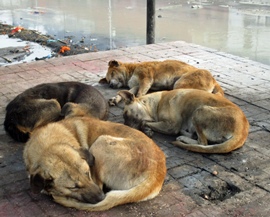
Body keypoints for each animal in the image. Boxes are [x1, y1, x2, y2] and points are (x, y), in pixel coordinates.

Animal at [23, 116, 167, 211]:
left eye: (87, 173)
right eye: (73, 187)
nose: (101, 197)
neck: (49, 143)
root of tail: (156, 174)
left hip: (100, 142)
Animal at [119, 89, 250, 153]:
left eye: (126, 115)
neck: (156, 103)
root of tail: (242, 132)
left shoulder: (171, 126)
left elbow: (144, 122)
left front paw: (146, 128)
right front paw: (148, 130)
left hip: (199, 111)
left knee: (203, 142)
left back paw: (183, 138)